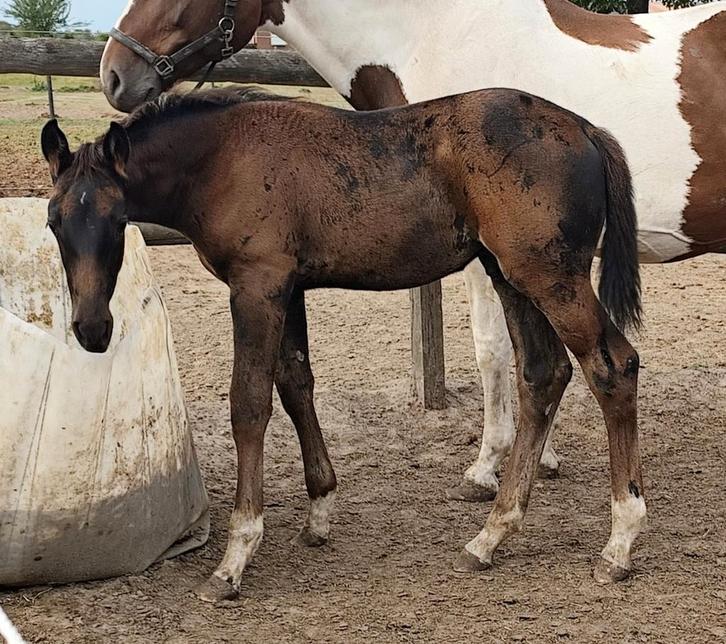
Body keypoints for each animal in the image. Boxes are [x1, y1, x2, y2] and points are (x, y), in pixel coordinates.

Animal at [42, 87, 642, 600]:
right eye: (52, 221)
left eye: (118, 218)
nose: (91, 329)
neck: (223, 158)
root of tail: (586, 129)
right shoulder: (289, 288)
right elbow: (295, 385)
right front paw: (319, 513)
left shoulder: (257, 286)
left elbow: (249, 404)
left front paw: (235, 558)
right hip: (509, 275)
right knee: (543, 375)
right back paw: (489, 536)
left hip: (549, 277)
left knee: (613, 367)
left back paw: (619, 542)